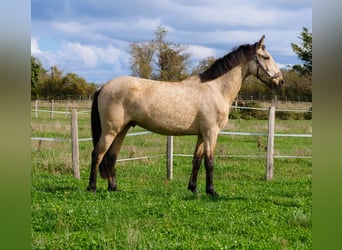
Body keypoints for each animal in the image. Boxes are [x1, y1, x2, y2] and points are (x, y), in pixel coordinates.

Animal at [86, 35, 284, 195]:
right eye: (266, 57)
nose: (280, 81)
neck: (215, 88)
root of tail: (103, 86)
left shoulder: (202, 135)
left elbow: (197, 160)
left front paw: (194, 188)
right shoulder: (211, 133)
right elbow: (210, 162)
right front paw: (212, 191)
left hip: (122, 129)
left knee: (111, 157)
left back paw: (113, 187)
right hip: (110, 130)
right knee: (97, 154)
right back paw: (92, 188)